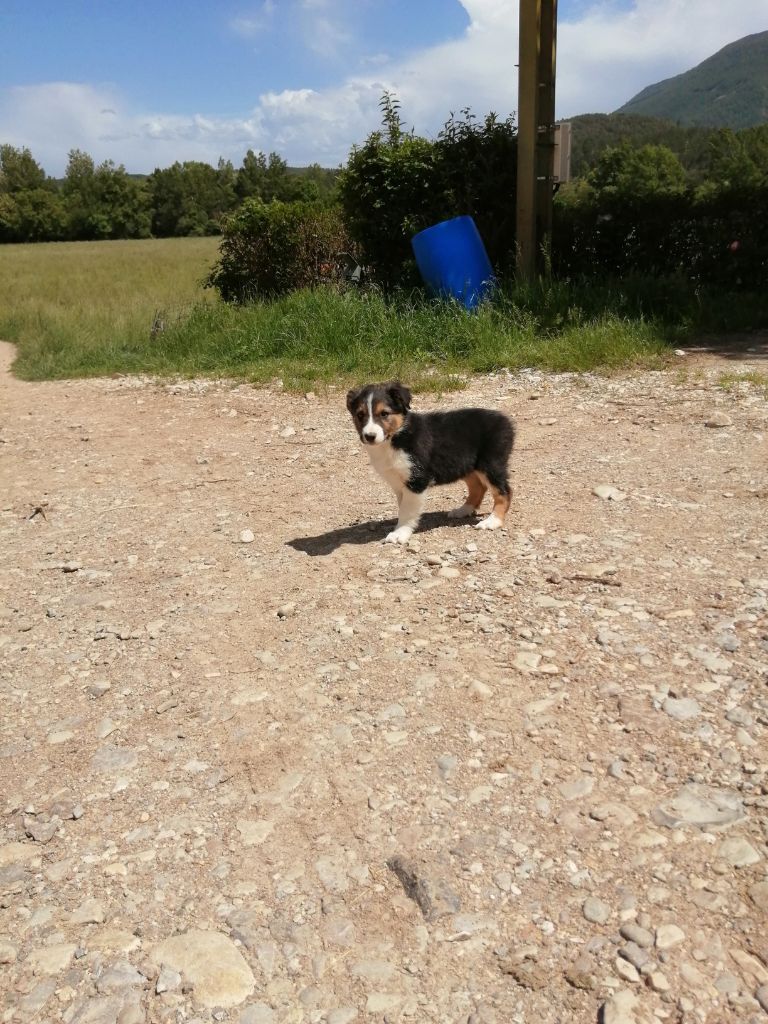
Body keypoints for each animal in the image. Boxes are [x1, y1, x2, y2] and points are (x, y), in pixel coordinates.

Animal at [346, 381, 515, 544]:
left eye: (384, 414)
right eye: (360, 415)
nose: (369, 436)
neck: (395, 438)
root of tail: (505, 420)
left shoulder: (416, 480)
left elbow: (407, 510)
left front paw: (400, 533)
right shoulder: (399, 482)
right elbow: (403, 507)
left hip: (491, 463)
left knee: (504, 491)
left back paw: (492, 521)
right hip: (466, 464)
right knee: (478, 487)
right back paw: (463, 510)